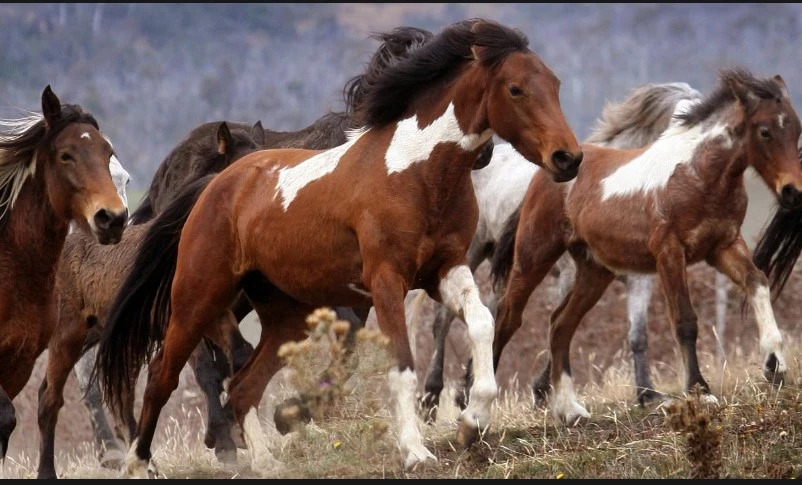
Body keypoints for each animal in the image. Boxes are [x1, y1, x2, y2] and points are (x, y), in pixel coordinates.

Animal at [94, 18, 580, 472]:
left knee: (244, 382)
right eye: (516, 89)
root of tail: (214, 184)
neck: (417, 173)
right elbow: (402, 365)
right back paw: (144, 463)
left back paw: (267, 462)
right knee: (167, 374)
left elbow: (481, 323)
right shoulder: (386, 282)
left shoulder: (447, 269)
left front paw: (473, 421)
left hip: (286, 315)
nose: (568, 158)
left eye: (556, 85)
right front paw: (415, 451)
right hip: (198, 297)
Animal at [416, 79, 704, 420]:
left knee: (491, 310)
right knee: (444, 319)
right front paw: (543, 391)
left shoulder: (639, 281)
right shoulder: (569, 275)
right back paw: (431, 397)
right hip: (472, 253)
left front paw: (646, 392)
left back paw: (465, 389)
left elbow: (638, 336)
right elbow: (559, 324)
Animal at [482, 67, 800, 424]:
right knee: (507, 316)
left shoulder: (723, 246)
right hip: (534, 255)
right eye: (765, 131)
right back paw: (476, 412)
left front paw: (775, 366)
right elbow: (685, 322)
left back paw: (570, 410)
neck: (697, 174)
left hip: (595, 272)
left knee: (560, 324)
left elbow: (757, 282)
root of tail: (547, 172)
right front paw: (700, 391)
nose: (792, 192)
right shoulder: (669, 253)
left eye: (796, 128)